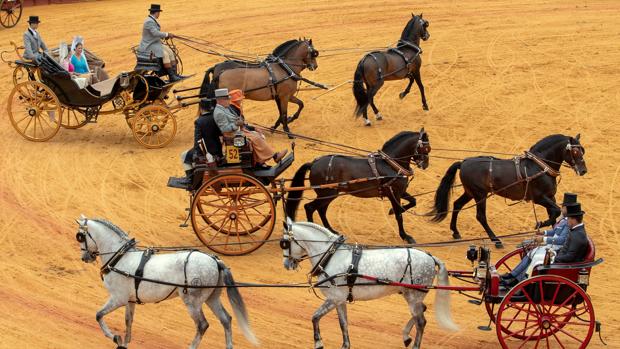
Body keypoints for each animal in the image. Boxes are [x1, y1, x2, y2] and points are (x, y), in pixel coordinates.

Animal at [75, 215, 260, 348]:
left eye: (80, 236)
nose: (85, 258)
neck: (121, 258)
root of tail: (216, 261)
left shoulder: (117, 299)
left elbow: (98, 315)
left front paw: (114, 337)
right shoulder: (130, 301)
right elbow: (128, 322)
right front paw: (124, 343)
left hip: (193, 302)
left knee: (202, 325)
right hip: (211, 298)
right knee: (226, 320)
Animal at [280, 220, 456, 348]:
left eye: (284, 243)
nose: (287, 264)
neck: (332, 256)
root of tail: (431, 257)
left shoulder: (333, 298)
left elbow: (315, 317)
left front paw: (318, 342)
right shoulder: (340, 300)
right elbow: (343, 323)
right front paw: (345, 345)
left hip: (413, 296)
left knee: (421, 322)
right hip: (411, 295)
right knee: (421, 312)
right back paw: (406, 337)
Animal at [286, 129, 428, 243]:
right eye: (425, 149)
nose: (425, 165)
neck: (391, 164)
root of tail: (313, 163)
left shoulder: (400, 191)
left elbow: (413, 201)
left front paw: (391, 211)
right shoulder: (393, 193)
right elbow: (399, 215)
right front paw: (406, 236)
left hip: (330, 194)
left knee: (321, 210)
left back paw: (331, 231)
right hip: (327, 194)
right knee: (310, 207)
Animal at [432, 133, 588, 247]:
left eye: (582, 151)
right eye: (575, 151)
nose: (583, 170)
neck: (539, 166)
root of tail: (463, 162)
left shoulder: (550, 197)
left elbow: (555, 215)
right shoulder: (539, 198)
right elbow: (556, 211)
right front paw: (540, 224)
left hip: (470, 192)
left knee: (457, 204)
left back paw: (455, 232)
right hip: (480, 194)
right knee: (480, 216)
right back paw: (496, 240)